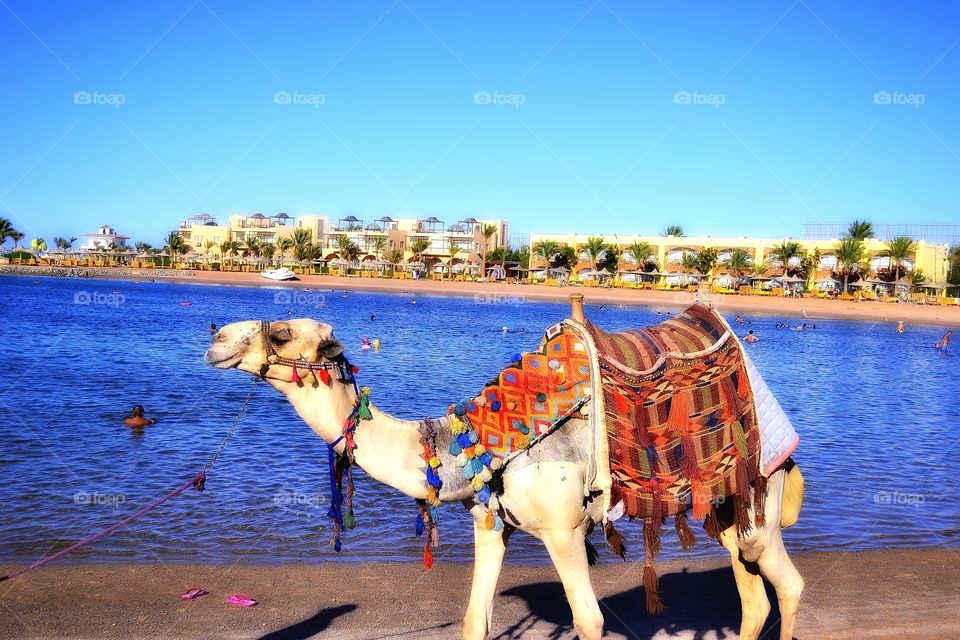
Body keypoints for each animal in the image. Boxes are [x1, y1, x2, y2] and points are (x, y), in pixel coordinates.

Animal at [205, 305, 804, 640]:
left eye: (282, 333)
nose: (216, 338)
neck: (478, 445)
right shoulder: (490, 524)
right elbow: (476, 621)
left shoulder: (564, 531)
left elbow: (589, 622)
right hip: (728, 505)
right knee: (752, 595)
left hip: (762, 492)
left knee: (786, 582)